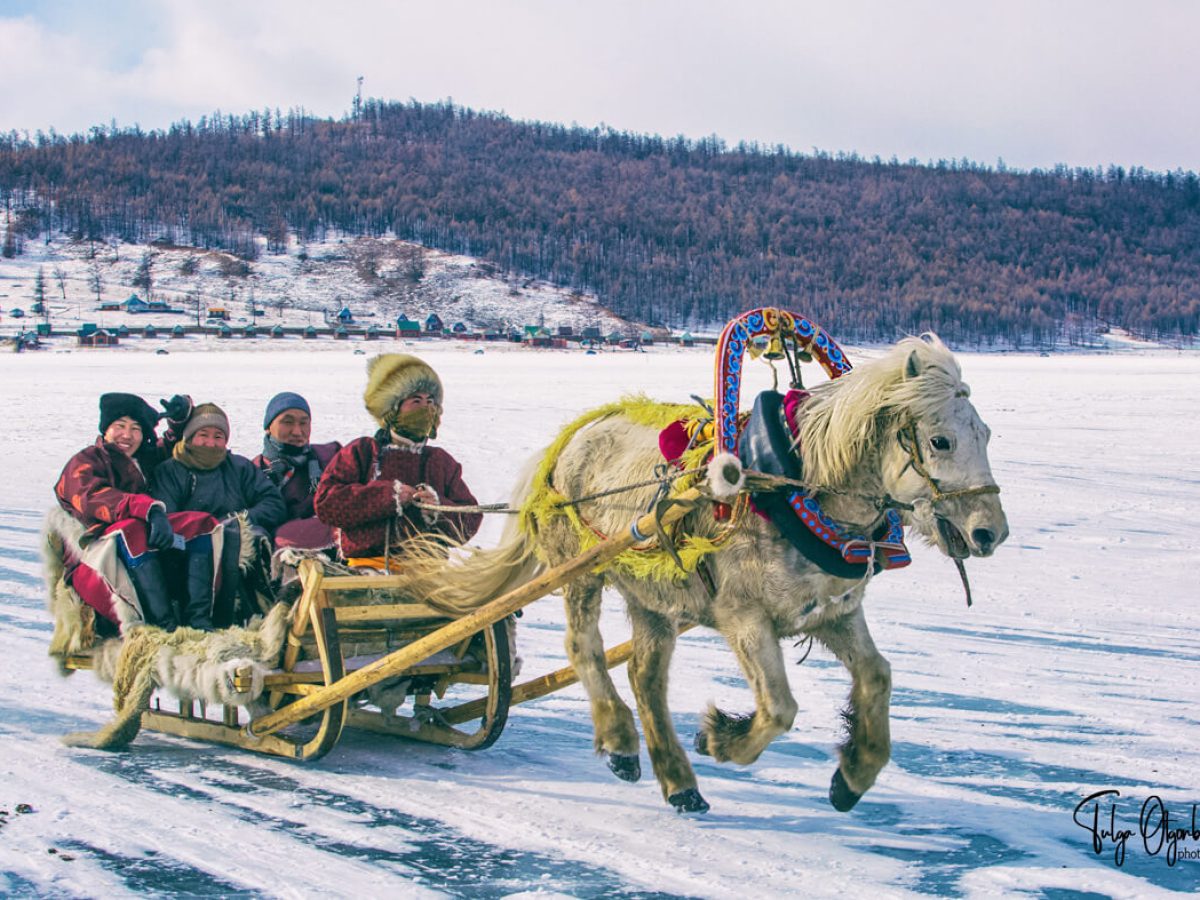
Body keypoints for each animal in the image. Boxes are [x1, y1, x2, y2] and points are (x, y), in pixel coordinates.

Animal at [410, 336, 1003, 816]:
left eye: (987, 434)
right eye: (941, 441)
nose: (991, 533)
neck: (794, 484)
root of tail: (570, 438)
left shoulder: (834, 613)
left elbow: (878, 675)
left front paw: (852, 776)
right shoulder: (744, 617)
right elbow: (780, 708)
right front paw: (720, 739)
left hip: (650, 594)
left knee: (645, 675)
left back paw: (678, 783)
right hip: (580, 570)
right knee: (583, 647)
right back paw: (620, 741)